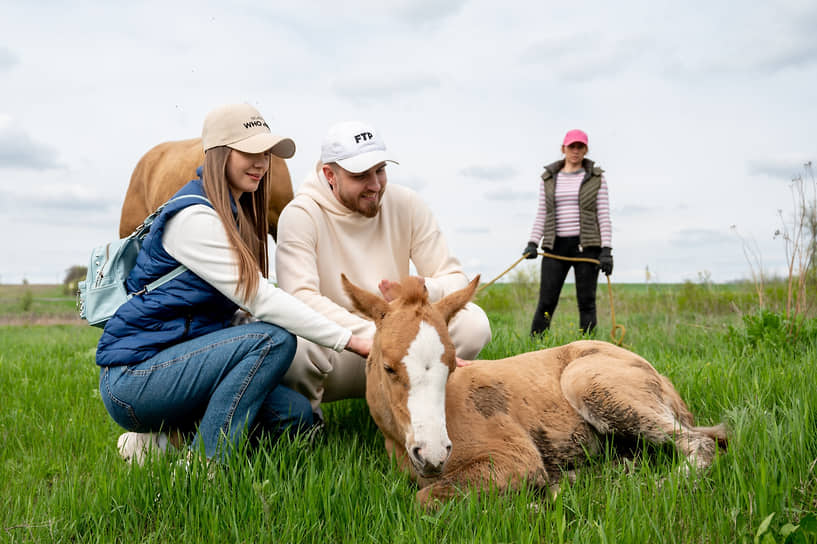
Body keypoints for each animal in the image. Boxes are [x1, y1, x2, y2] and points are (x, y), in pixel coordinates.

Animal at [338, 274, 728, 508]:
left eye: (451, 364)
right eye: (388, 367)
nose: (433, 453)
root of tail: (659, 376)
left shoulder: (516, 458)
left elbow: (425, 498)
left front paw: (534, 500)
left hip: (589, 384)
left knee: (702, 441)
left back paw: (652, 488)